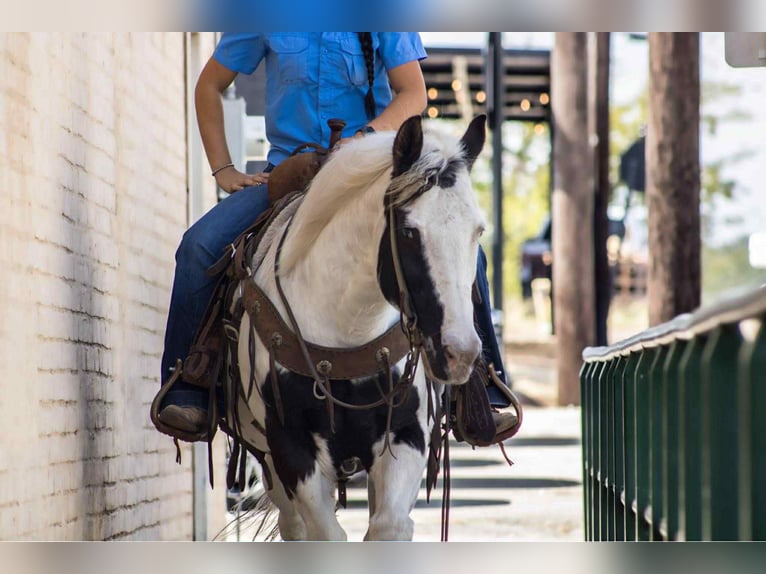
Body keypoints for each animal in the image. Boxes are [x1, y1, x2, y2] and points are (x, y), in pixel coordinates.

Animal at [228, 115, 488, 540]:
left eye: (478, 231)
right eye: (409, 231)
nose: (459, 353)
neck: (347, 328)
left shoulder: (406, 437)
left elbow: (388, 525)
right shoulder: (291, 448)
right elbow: (324, 532)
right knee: (291, 524)